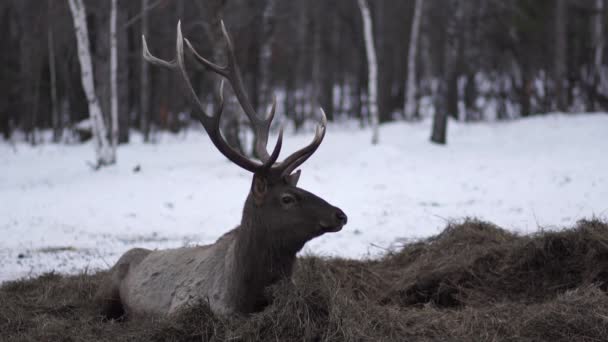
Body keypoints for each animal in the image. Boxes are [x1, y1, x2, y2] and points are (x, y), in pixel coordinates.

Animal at [97, 22, 350, 318]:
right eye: (287, 198)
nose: (340, 214)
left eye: (300, 187)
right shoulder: (187, 305)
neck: (243, 292)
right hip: (108, 288)